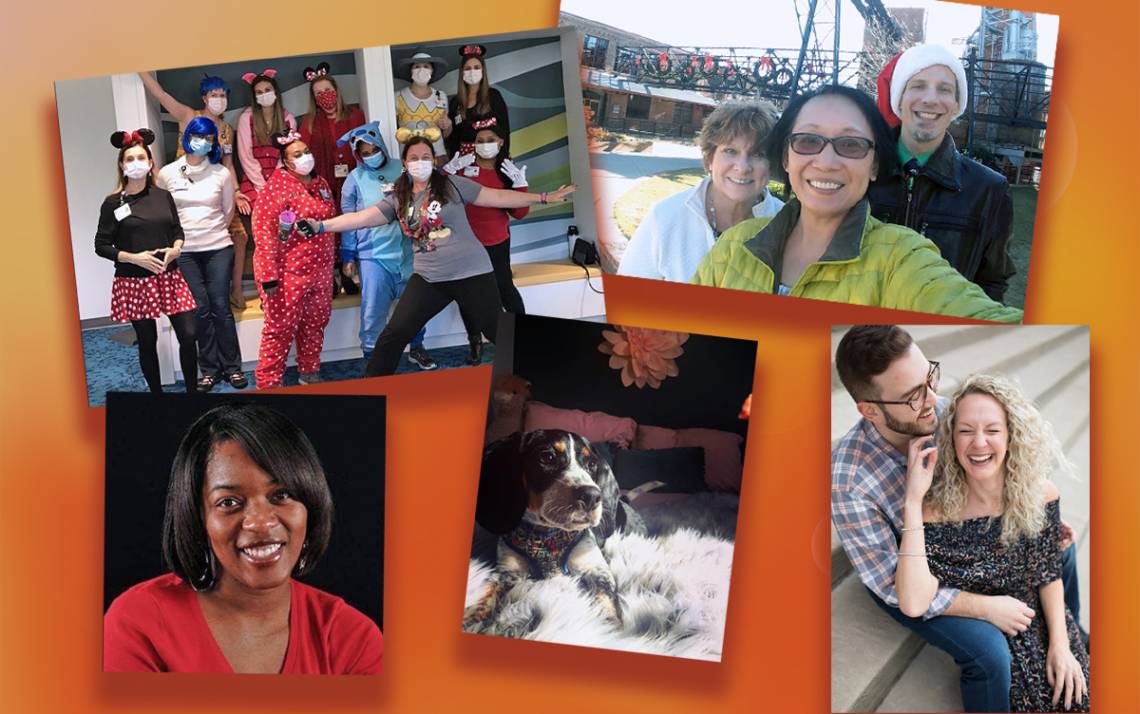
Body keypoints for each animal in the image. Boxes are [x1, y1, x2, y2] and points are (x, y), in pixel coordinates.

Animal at [460, 428, 642, 629]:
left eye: (592, 464)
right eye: (547, 457)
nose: (592, 496)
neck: (546, 535)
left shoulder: (597, 571)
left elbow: (606, 601)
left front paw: (611, 629)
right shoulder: (508, 572)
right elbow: (490, 587)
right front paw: (472, 615)